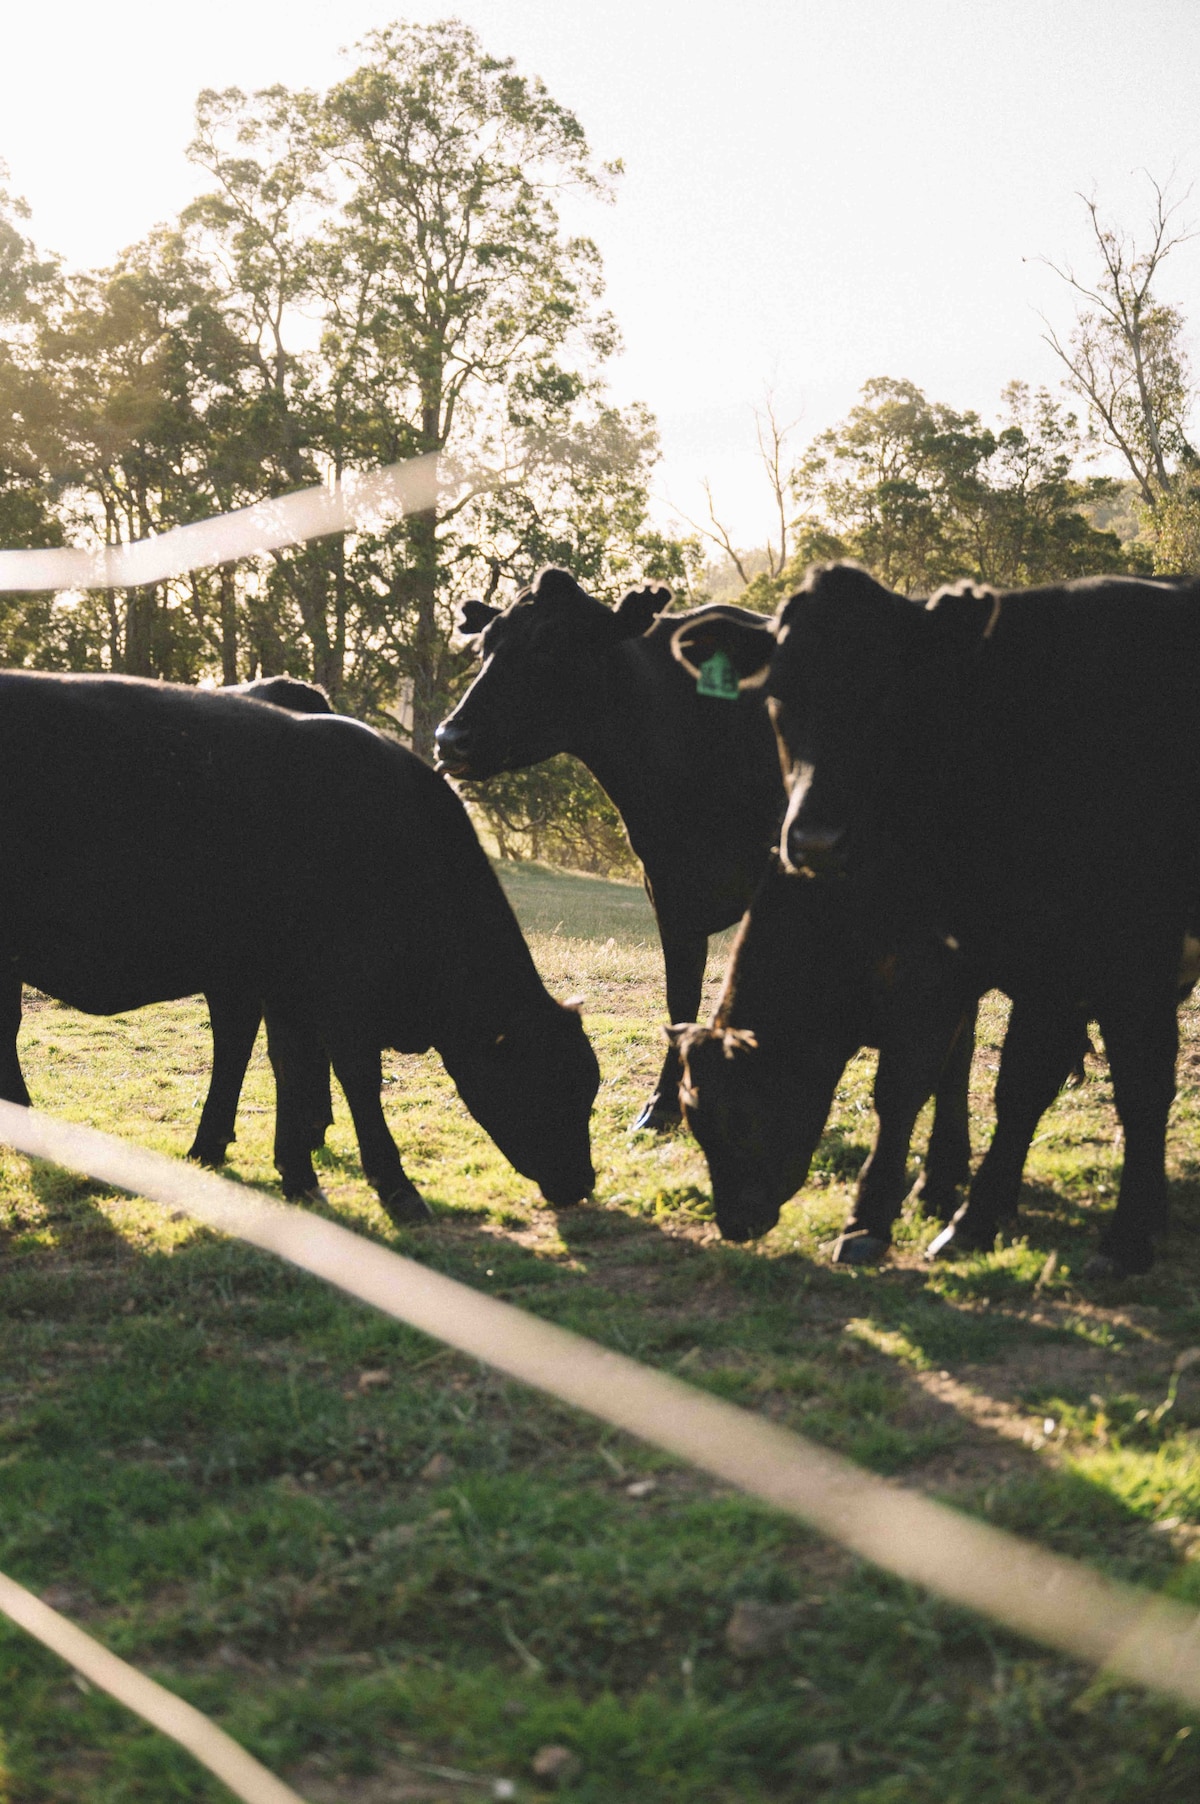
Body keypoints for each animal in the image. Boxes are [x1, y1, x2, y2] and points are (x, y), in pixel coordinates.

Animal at [434, 562, 783, 1125]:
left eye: (552, 642)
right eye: (485, 645)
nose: (450, 738)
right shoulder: (668, 889)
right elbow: (680, 998)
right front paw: (661, 1106)